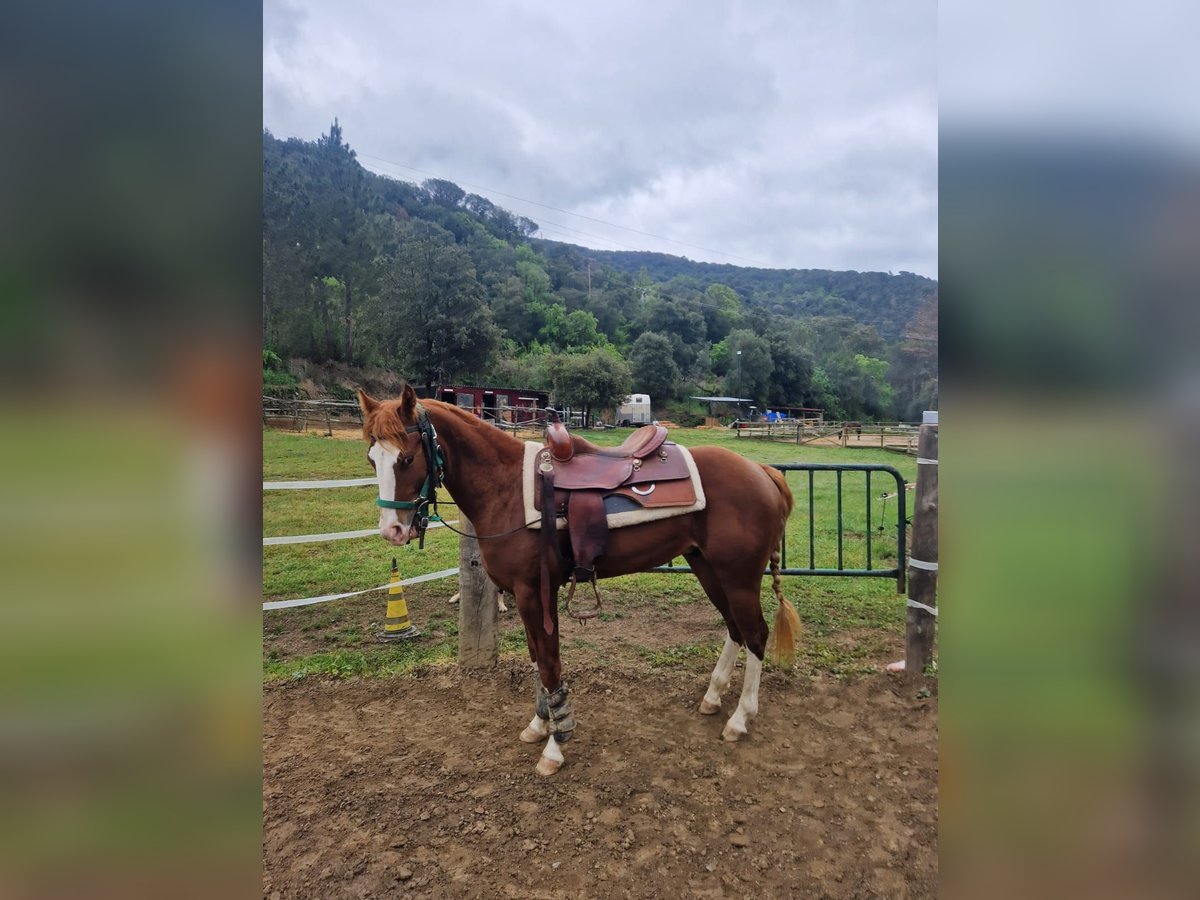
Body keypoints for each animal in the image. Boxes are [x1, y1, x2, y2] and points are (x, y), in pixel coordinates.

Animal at [360, 384, 801, 777]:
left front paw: (556, 745)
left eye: (407, 458)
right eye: (372, 459)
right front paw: (540, 724)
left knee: (756, 634)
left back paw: (740, 719)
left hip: (738, 575)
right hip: (708, 568)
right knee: (735, 629)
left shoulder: (533, 593)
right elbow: (537, 659)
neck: (505, 488)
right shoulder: (529, 595)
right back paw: (712, 698)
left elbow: (549, 662)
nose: (392, 531)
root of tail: (762, 471)